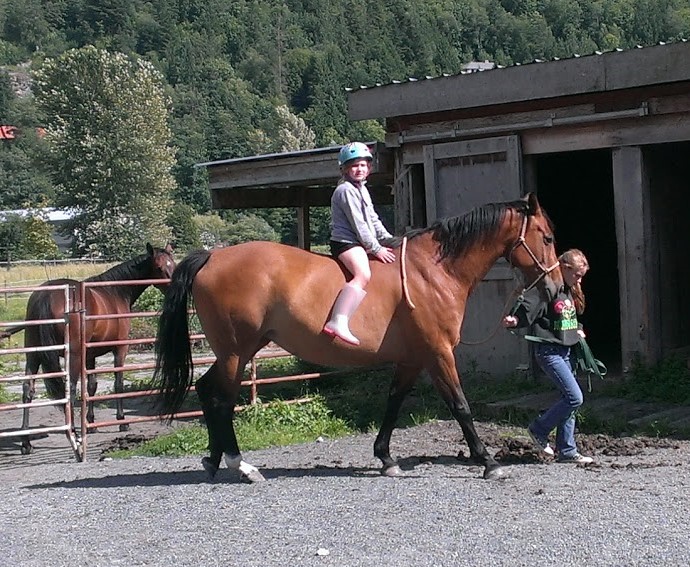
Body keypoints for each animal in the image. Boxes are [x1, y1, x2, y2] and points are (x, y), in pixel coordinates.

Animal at [3, 242, 175, 454]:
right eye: (159, 267)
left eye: (173, 263)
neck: (115, 291)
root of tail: (46, 295)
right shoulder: (120, 348)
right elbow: (118, 383)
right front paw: (122, 421)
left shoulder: (90, 354)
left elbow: (91, 387)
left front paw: (91, 422)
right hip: (73, 356)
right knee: (69, 389)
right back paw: (73, 433)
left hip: (33, 356)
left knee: (28, 390)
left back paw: (26, 442)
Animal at [153, 195, 560, 484]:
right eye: (548, 237)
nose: (556, 287)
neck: (433, 271)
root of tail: (211, 257)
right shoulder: (438, 353)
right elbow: (460, 405)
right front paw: (488, 461)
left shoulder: (412, 358)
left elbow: (393, 402)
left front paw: (386, 458)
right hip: (237, 352)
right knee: (221, 400)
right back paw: (242, 465)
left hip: (236, 351)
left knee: (207, 392)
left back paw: (213, 459)